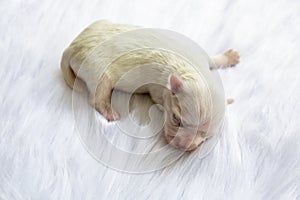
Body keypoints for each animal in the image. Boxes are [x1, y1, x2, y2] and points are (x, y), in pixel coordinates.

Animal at [60, 20, 239, 152]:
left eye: (204, 133)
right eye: (176, 119)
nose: (182, 146)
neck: (191, 69)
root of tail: (71, 48)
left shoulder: (201, 56)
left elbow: (213, 59)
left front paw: (229, 57)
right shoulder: (158, 90)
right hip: (98, 72)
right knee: (97, 97)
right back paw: (109, 111)